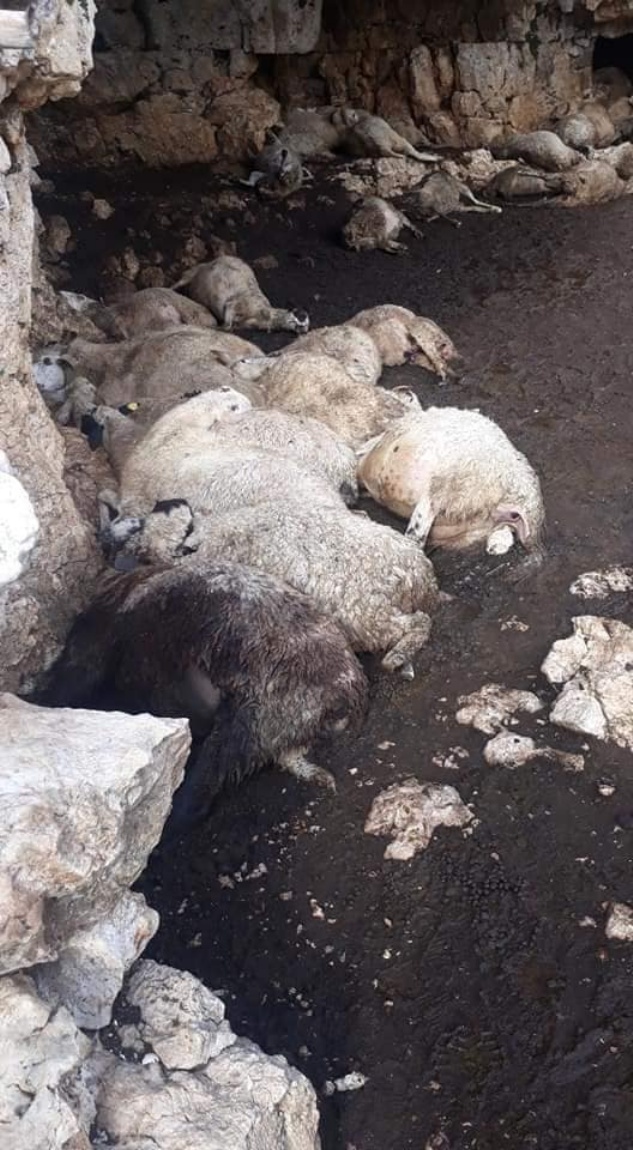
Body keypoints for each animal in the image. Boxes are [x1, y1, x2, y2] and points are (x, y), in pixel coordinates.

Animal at [172, 256, 310, 333]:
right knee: (181, 280)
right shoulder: (233, 304)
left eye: (304, 326)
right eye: (296, 318)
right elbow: (227, 325)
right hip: (195, 270)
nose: (302, 329)